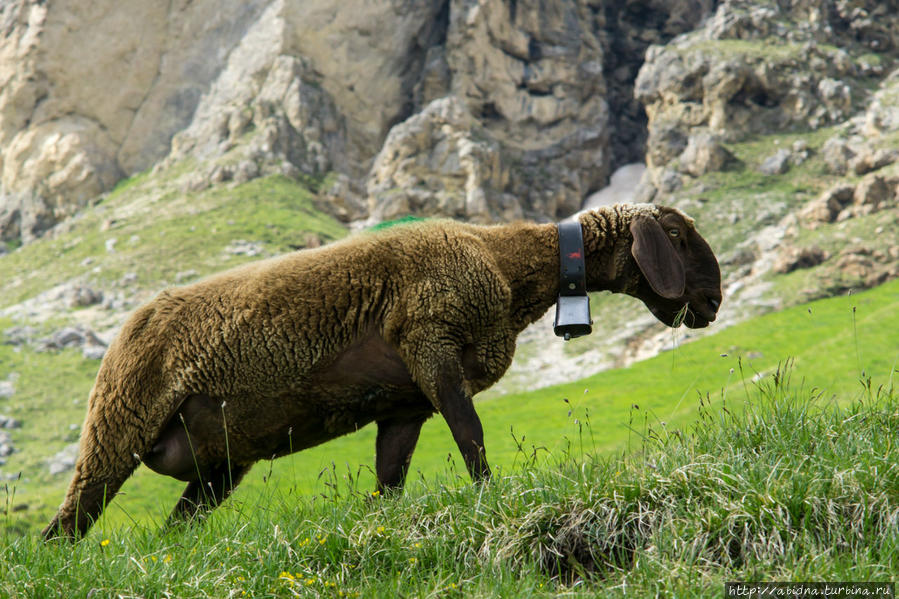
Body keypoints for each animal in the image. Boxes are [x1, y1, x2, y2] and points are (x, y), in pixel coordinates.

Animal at [42, 204, 724, 540]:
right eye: (676, 234)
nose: (713, 305)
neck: (509, 266)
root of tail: (126, 330)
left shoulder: (405, 404)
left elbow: (389, 482)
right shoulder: (430, 344)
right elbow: (472, 438)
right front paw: (493, 498)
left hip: (221, 460)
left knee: (173, 533)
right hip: (119, 424)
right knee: (68, 525)